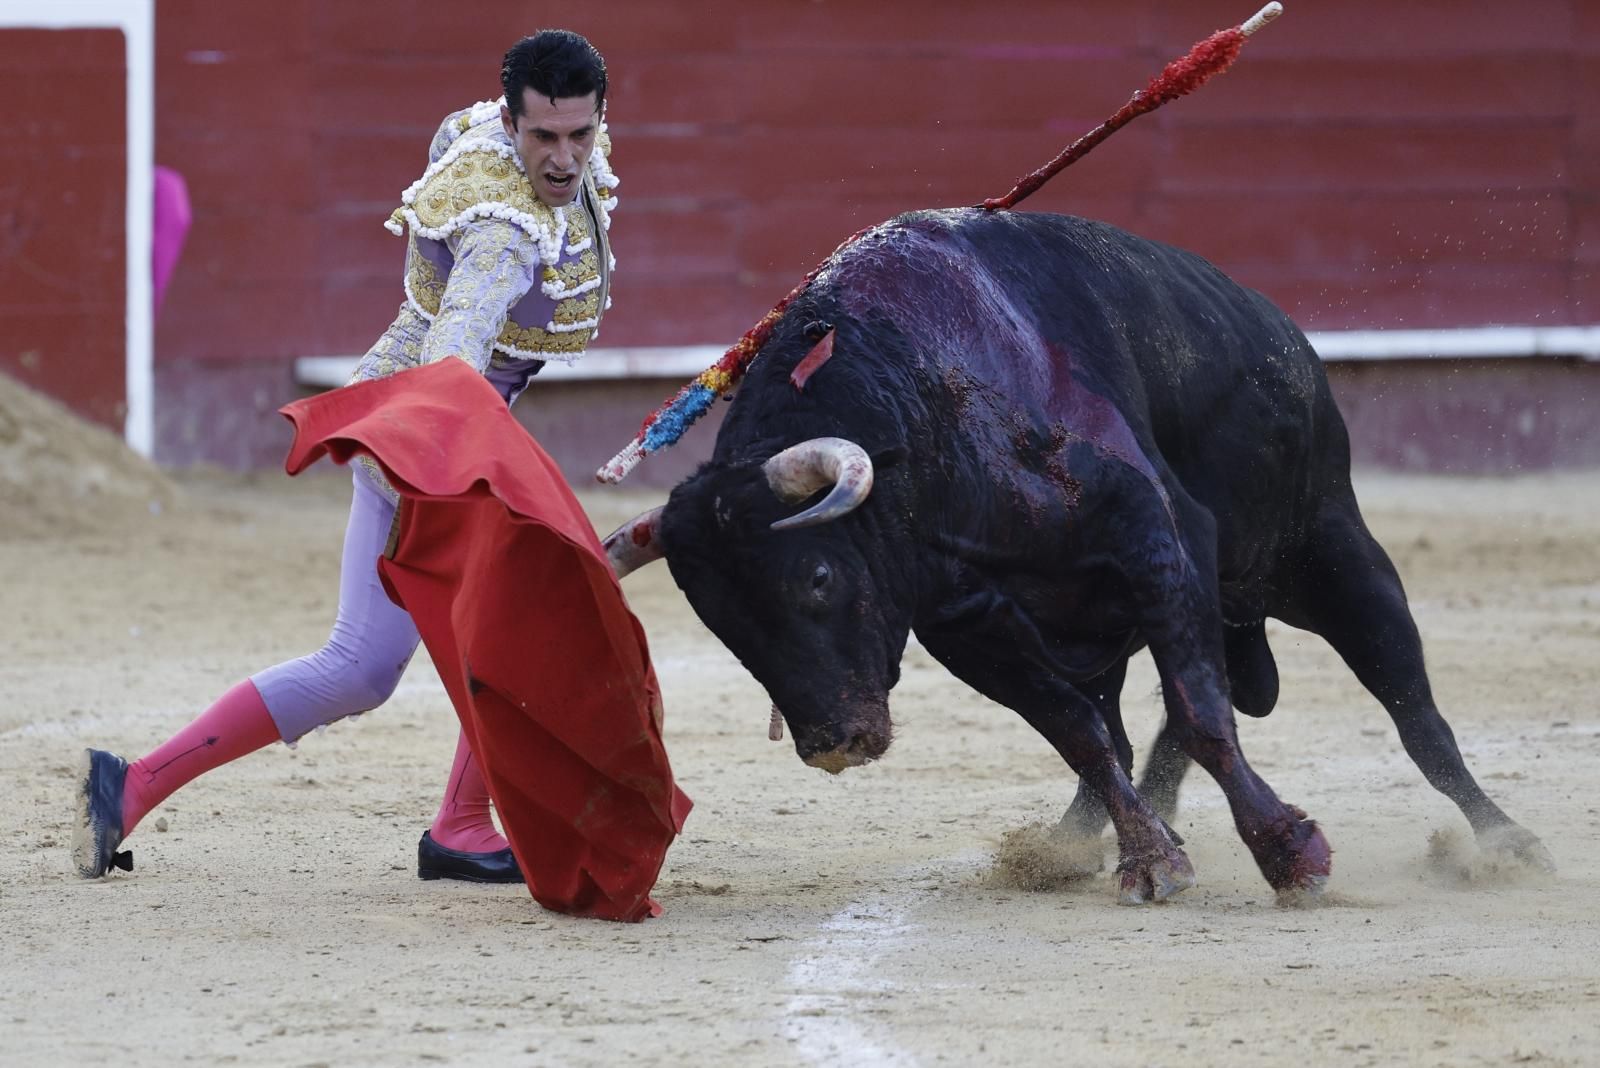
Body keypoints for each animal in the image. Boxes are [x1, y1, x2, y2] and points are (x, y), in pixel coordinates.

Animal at [608, 206, 1548, 901]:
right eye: (722, 626)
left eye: (816, 576)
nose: (835, 743)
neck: (922, 405)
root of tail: (1276, 324)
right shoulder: (969, 627)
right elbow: (1083, 736)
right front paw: (1152, 860)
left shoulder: (1159, 540)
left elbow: (1203, 716)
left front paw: (1290, 854)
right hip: (1116, 625)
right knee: (1130, 730)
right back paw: (1082, 843)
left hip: (1332, 555)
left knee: (1413, 713)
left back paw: (1507, 842)